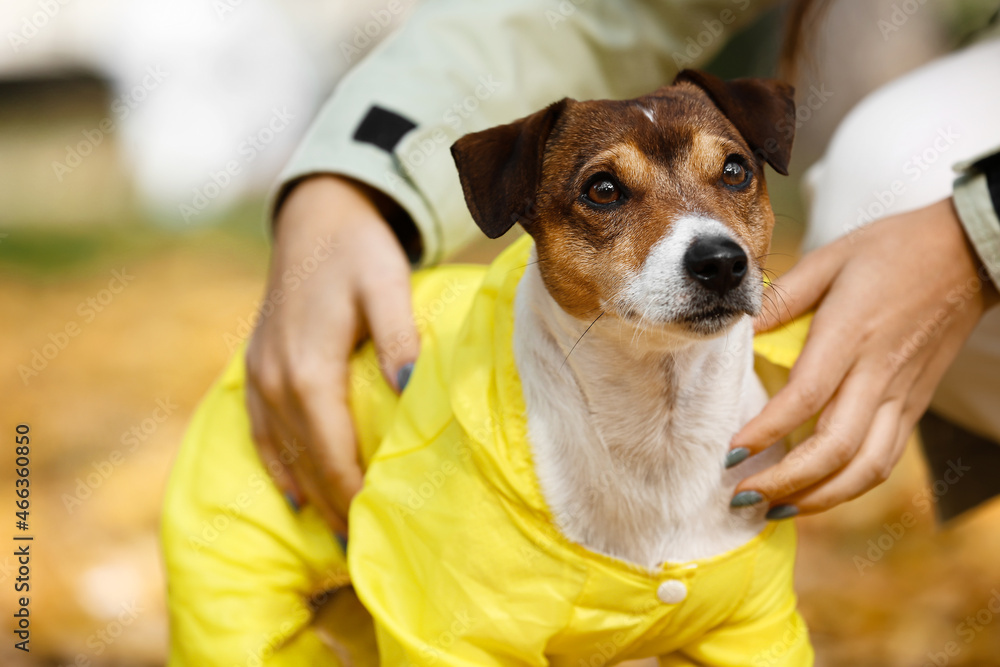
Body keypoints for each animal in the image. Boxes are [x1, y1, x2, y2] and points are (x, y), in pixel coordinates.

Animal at [164, 69, 816, 667]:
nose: (721, 261)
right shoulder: (450, 628)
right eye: (603, 189)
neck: (659, 429)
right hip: (238, 596)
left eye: (735, 171)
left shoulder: (751, 629)